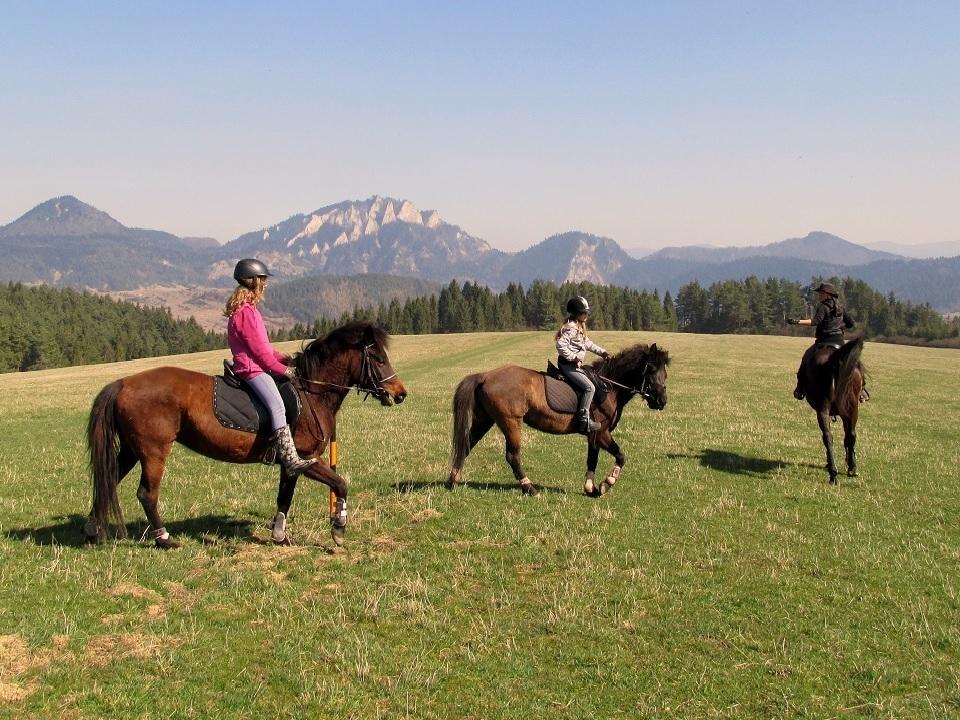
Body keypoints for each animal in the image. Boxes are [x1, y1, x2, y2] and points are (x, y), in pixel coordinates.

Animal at [83, 320, 408, 544]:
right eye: (378, 359)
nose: (400, 393)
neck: (311, 392)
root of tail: (123, 383)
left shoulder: (291, 465)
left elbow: (284, 497)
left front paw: (279, 536)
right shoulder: (305, 459)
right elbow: (340, 484)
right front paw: (338, 528)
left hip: (131, 450)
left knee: (107, 481)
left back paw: (92, 531)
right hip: (153, 452)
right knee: (146, 493)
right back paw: (163, 538)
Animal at [448, 342, 668, 496]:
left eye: (664, 372)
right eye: (651, 369)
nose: (662, 400)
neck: (609, 387)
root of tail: (485, 375)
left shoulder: (593, 435)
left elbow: (592, 458)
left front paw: (590, 488)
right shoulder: (601, 432)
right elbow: (621, 456)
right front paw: (607, 483)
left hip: (484, 420)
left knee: (466, 445)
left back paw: (453, 480)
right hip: (511, 422)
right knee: (512, 456)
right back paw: (529, 488)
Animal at [800, 334, 868, 484]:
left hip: (828, 407)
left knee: (830, 436)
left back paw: (834, 471)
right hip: (849, 407)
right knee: (845, 435)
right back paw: (844, 470)